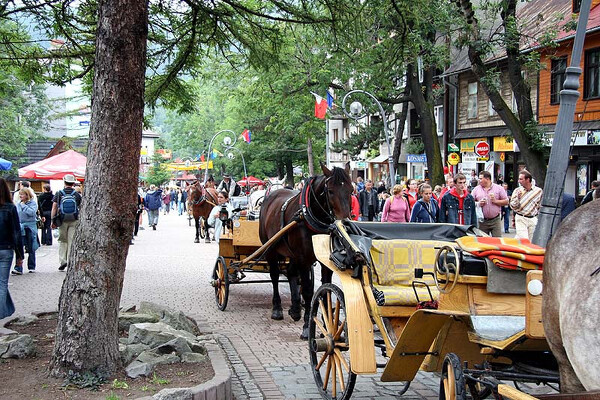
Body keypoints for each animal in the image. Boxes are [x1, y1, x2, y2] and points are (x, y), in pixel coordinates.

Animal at [258, 162, 354, 338]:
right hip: (270, 249)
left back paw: (295, 309)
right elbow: (308, 291)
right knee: (275, 275)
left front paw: (326, 323)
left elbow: (324, 290)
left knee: (290, 273)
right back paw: (277, 309)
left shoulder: (323, 260)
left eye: (351, 190)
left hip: (291, 253)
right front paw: (307, 326)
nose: (345, 222)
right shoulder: (304, 259)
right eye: (330, 191)